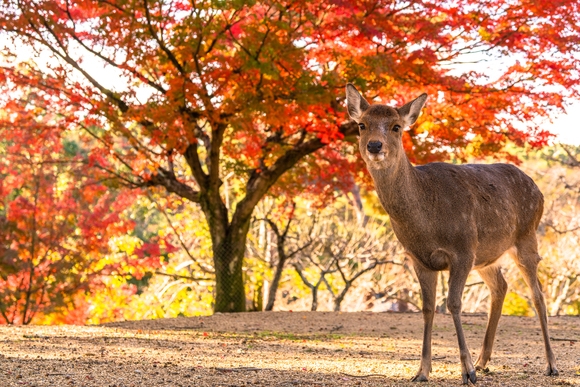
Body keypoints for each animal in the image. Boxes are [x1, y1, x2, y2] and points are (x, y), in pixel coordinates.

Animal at [346, 84, 560, 384]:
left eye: (397, 126)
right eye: (362, 125)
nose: (374, 145)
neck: (426, 221)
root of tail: (537, 189)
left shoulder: (462, 250)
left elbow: (454, 303)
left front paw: (467, 372)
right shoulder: (419, 259)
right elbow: (427, 308)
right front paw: (422, 371)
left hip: (526, 236)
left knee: (538, 296)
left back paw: (550, 365)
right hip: (486, 255)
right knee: (501, 286)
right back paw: (484, 361)